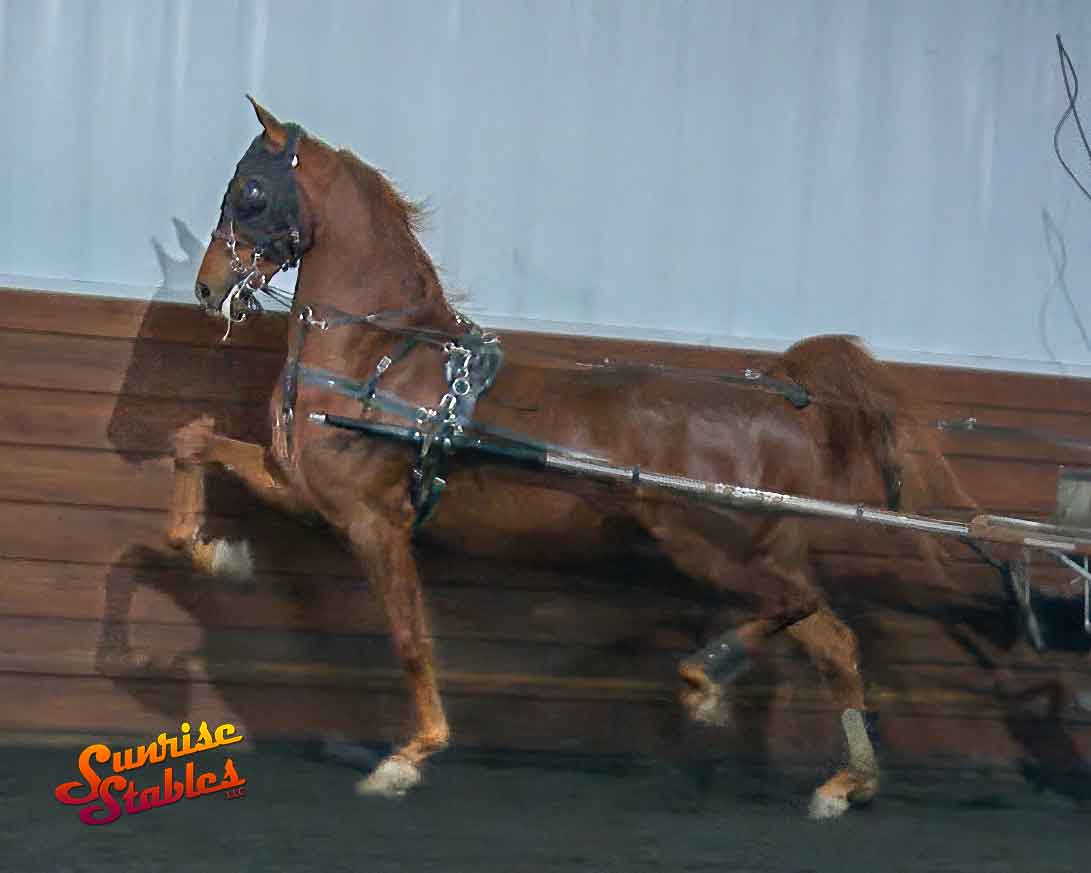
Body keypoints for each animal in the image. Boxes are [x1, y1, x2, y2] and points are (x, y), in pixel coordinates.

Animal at [170, 97, 971, 819]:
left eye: (251, 191)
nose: (208, 287)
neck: (380, 362)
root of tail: (781, 401)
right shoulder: (305, 488)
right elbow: (192, 438)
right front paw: (218, 554)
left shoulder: (374, 522)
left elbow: (410, 638)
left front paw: (410, 756)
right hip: (759, 548)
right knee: (832, 639)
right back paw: (844, 782)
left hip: (703, 543)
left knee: (796, 608)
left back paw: (705, 678)